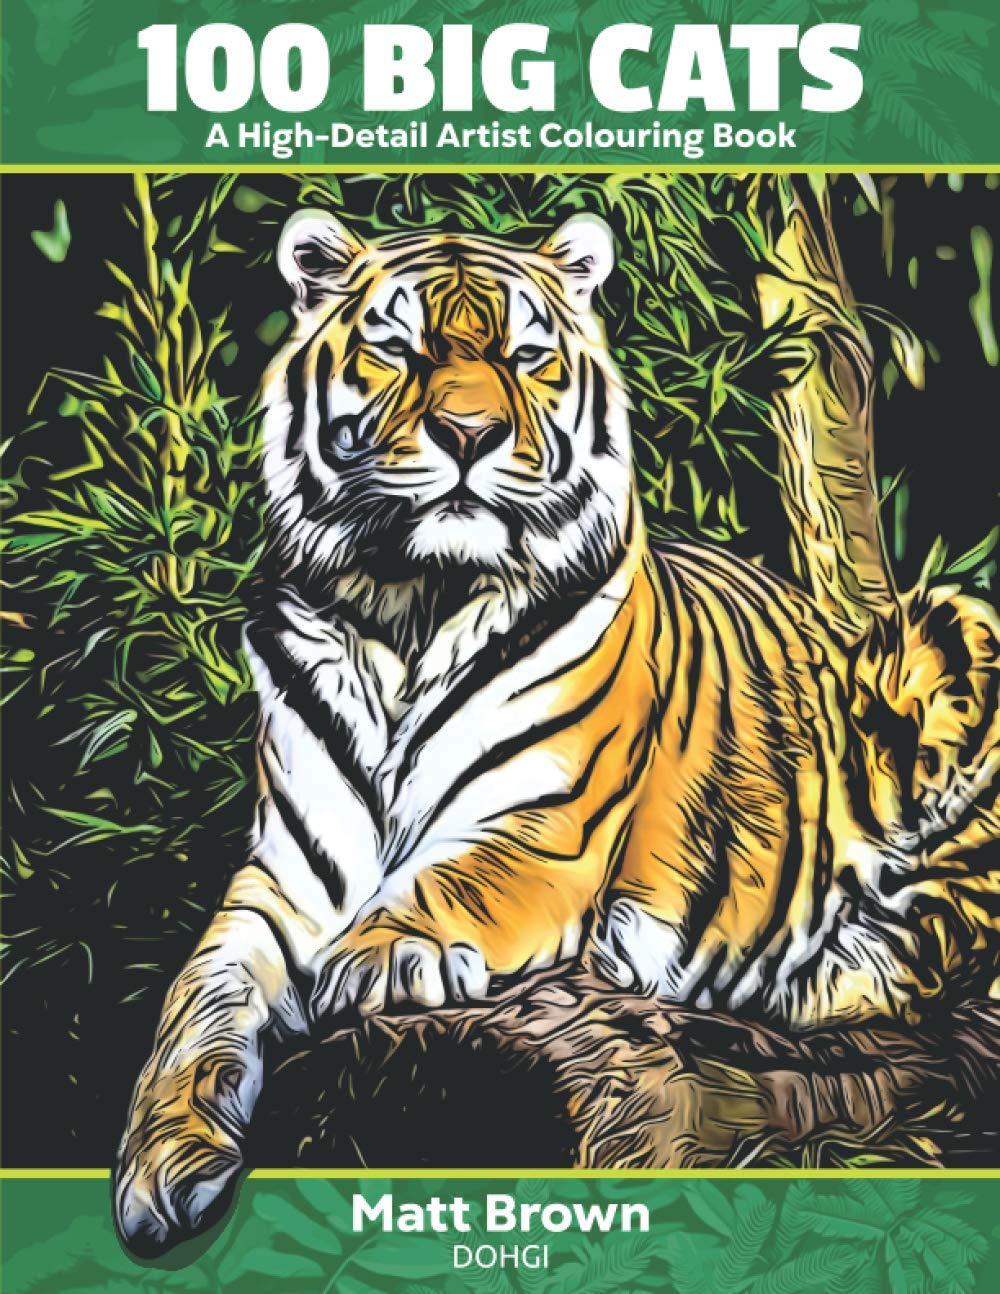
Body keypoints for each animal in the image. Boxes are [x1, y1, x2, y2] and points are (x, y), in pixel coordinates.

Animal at [114, 208, 1000, 1255]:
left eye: (526, 356)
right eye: (398, 349)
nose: (469, 433)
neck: (410, 611)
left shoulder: (544, 829)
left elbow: (449, 883)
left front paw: (377, 957)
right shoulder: (283, 880)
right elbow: (195, 1005)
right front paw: (161, 1170)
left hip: (953, 627)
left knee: (938, 941)